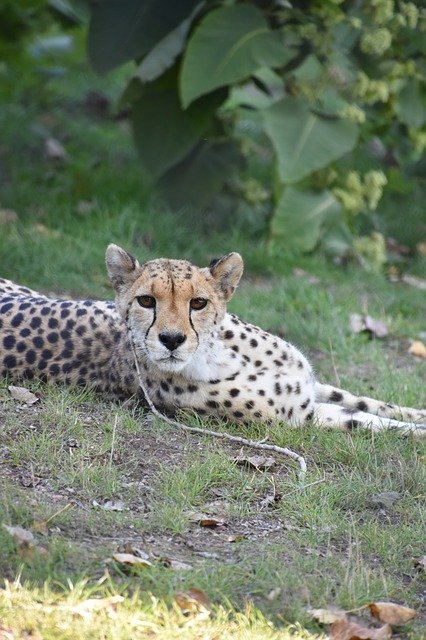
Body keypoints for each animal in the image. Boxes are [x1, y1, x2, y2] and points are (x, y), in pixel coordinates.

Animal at [0, 245, 424, 436]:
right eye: (146, 301)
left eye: (198, 303)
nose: (171, 339)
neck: (226, 354)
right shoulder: (301, 417)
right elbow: (369, 421)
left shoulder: (311, 385)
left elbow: (373, 404)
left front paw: (415, 415)